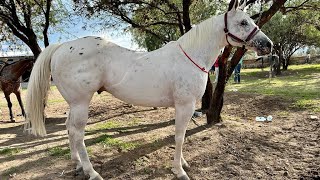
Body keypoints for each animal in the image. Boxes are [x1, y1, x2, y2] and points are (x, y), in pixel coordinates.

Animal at [24, 0, 272, 179]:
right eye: (243, 22)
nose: (267, 45)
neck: (190, 56)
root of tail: (61, 47)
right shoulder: (185, 106)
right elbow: (179, 136)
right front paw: (179, 170)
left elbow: (180, 136)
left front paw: (182, 163)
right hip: (81, 103)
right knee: (77, 134)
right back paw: (91, 172)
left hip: (73, 104)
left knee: (69, 130)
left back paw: (76, 164)